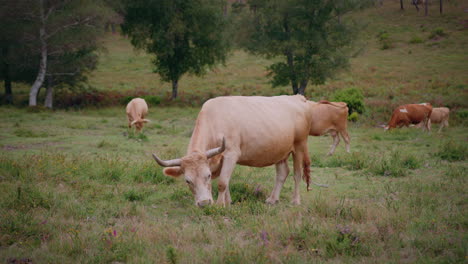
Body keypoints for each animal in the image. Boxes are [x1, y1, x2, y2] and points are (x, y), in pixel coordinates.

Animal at [154, 96, 314, 207]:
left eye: (208, 175)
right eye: (187, 180)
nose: (204, 203)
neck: (214, 121)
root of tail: (297, 98)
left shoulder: (231, 154)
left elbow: (222, 182)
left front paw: (220, 205)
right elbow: (226, 181)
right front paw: (228, 202)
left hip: (299, 145)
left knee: (297, 174)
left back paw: (295, 201)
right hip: (280, 151)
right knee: (282, 173)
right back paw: (272, 199)